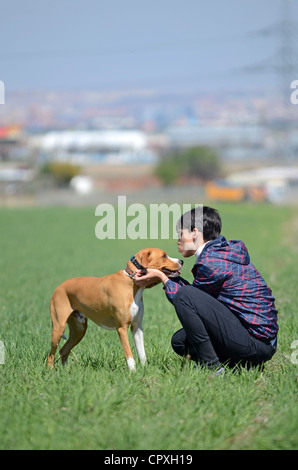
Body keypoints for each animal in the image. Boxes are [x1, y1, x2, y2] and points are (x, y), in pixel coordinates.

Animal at [46, 248, 183, 372]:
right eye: (164, 255)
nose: (181, 261)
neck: (131, 282)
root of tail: (59, 287)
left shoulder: (137, 327)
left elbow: (142, 354)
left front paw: (145, 370)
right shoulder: (122, 328)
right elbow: (130, 356)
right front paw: (133, 372)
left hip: (79, 330)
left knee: (63, 350)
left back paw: (66, 372)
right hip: (58, 327)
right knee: (51, 355)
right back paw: (51, 372)